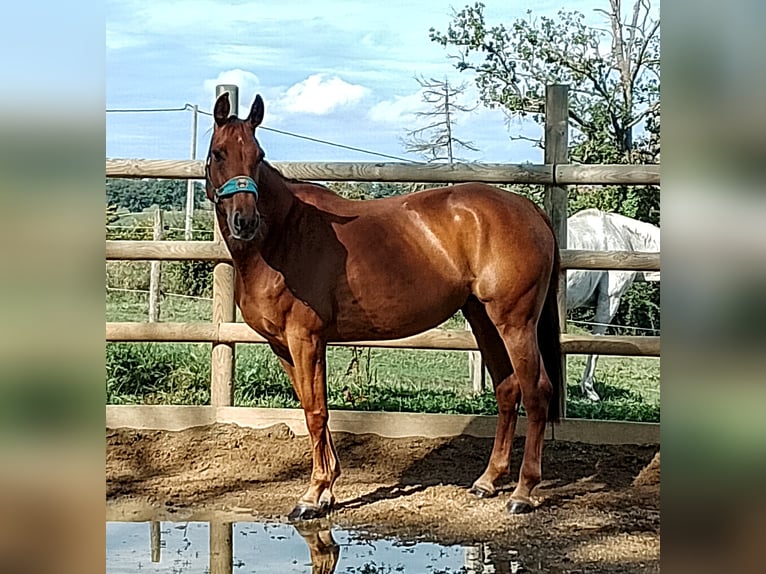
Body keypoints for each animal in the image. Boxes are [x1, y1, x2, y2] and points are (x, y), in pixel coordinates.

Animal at [205, 92, 563, 520]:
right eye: (219, 153)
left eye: (258, 155)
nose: (244, 221)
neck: (283, 236)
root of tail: (530, 210)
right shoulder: (284, 345)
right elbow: (313, 407)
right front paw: (327, 490)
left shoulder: (305, 339)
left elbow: (316, 412)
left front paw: (312, 495)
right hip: (483, 319)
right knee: (507, 390)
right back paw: (488, 481)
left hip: (515, 322)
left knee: (536, 392)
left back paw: (523, 492)